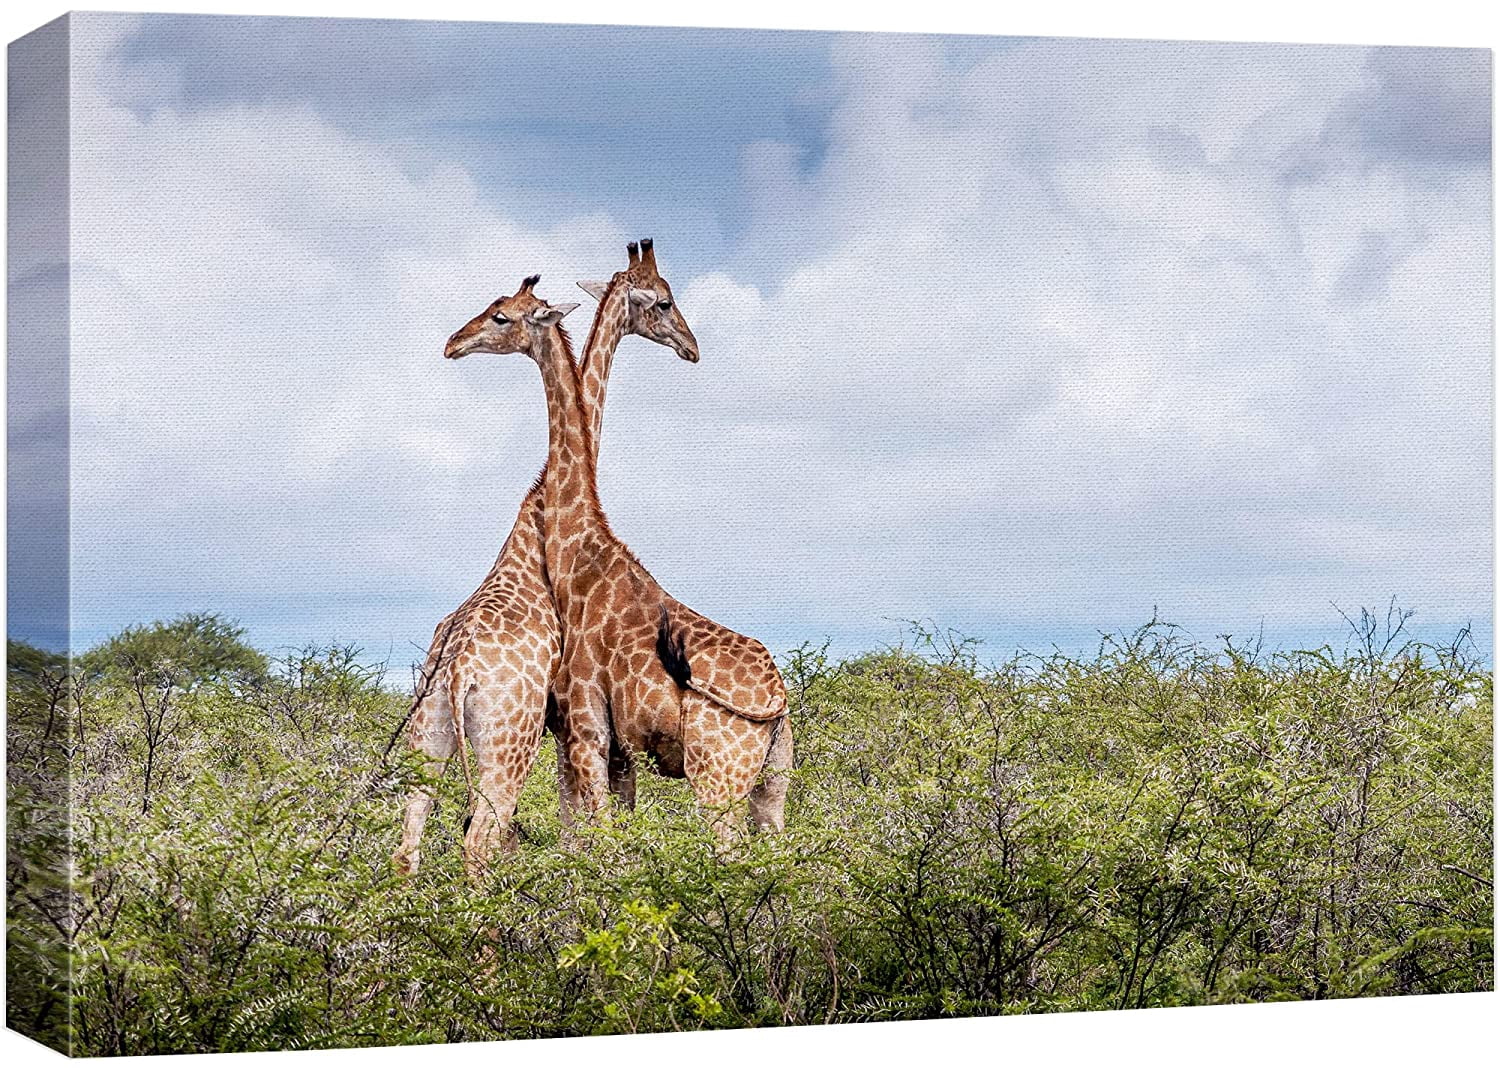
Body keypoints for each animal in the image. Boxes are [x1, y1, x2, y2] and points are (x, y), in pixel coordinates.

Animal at [393, 245, 698, 880]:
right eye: (663, 302)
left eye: (499, 312)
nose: (692, 345)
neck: (540, 509)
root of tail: (457, 673)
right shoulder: (572, 729)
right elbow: (582, 833)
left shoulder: (569, 734)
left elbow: (570, 835)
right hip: (508, 742)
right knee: (479, 841)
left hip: (428, 737)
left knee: (408, 844)